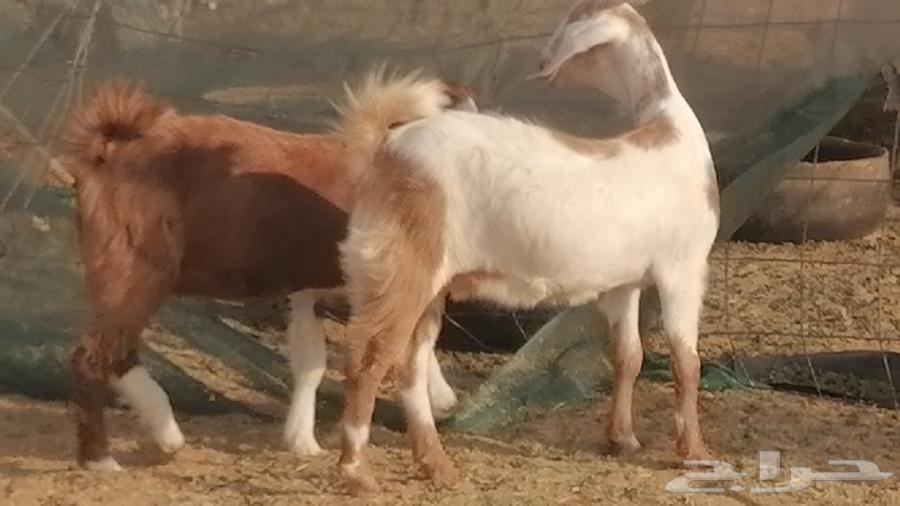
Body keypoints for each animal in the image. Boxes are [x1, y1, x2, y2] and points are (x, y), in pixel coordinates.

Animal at [62, 79, 475, 471]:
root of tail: (110, 147)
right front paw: (441, 397)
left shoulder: (310, 293)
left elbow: (311, 363)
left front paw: (302, 442)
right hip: (136, 271)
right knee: (95, 356)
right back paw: (105, 458)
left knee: (116, 353)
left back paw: (165, 435)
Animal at [332, 0, 720, 492]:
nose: (540, 62)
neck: (668, 132)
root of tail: (387, 149)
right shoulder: (683, 268)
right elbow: (686, 362)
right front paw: (696, 454)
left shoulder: (624, 282)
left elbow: (628, 356)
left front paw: (623, 439)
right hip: (403, 270)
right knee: (368, 361)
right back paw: (356, 471)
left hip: (412, 282)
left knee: (409, 368)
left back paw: (436, 465)